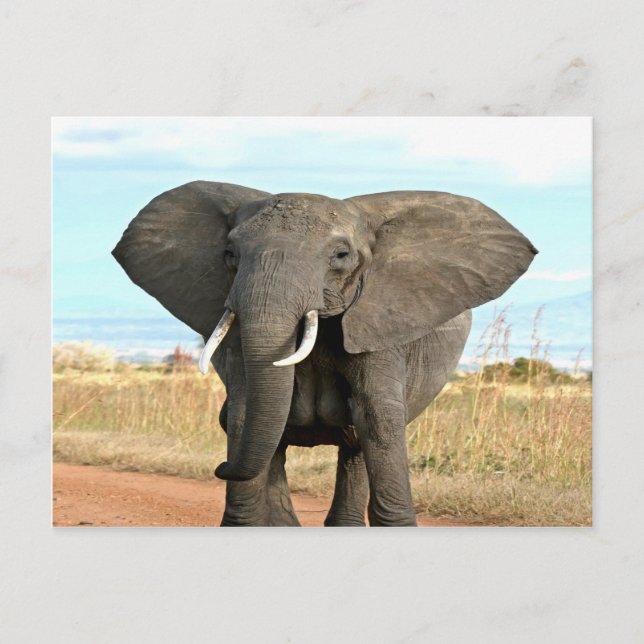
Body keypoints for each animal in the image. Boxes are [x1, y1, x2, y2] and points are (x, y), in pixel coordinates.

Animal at [113, 181, 537, 527]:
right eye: (230, 253)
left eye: (341, 255)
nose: (220, 467)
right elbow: (245, 412)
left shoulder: (381, 321)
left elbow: (377, 418)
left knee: (355, 444)